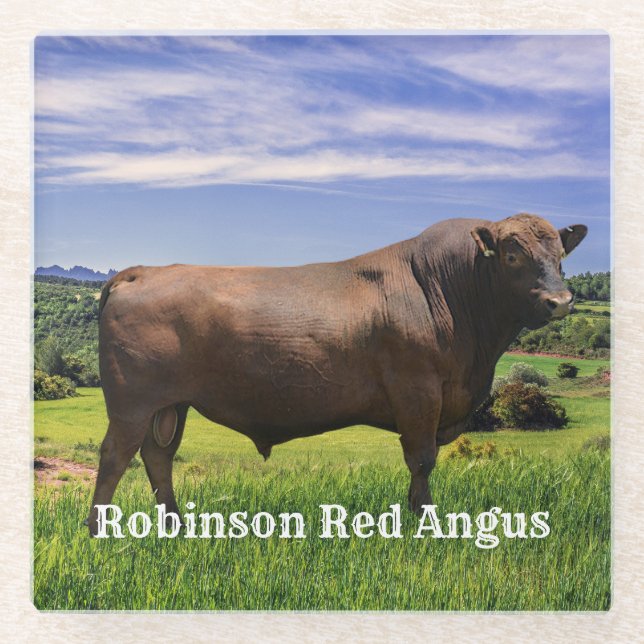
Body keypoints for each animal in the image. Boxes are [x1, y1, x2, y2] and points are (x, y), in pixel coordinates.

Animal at [86, 213, 586, 536]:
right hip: (132, 402)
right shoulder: (419, 393)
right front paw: (425, 524)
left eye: (561, 256)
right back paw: (97, 533)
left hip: (172, 404)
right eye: (512, 256)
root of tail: (142, 271)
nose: (560, 302)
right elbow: (422, 460)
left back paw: (176, 528)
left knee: (158, 457)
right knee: (115, 456)